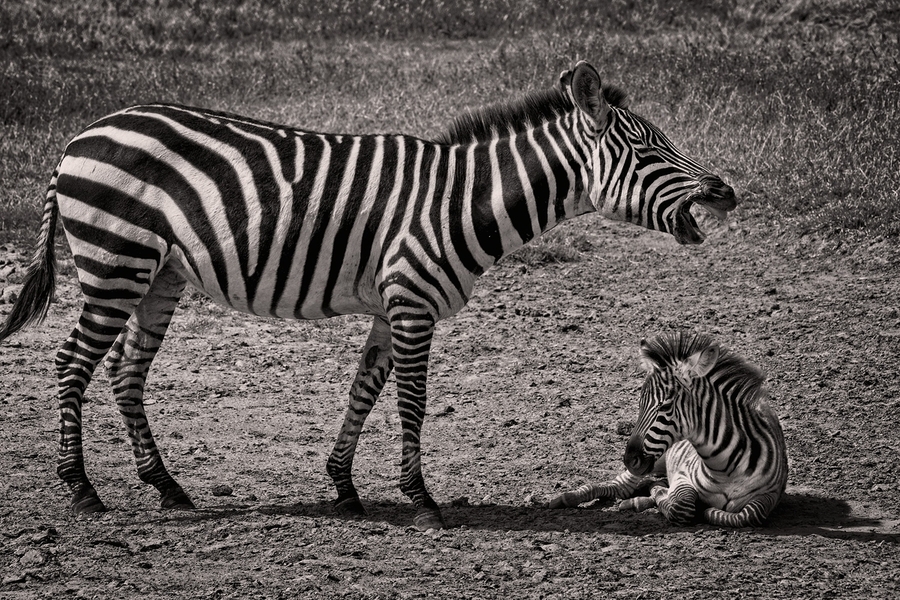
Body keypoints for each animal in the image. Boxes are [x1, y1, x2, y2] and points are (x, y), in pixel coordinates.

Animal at [0, 61, 736, 530]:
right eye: (648, 151)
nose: (726, 191)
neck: (460, 201)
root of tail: (79, 137)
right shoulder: (412, 302)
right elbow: (411, 402)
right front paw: (422, 500)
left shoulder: (391, 305)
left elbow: (363, 390)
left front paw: (344, 488)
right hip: (114, 262)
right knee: (72, 364)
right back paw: (82, 490)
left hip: (159, 275)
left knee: (126, 372)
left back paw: (168, 487)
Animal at [550, 332, 788, 527]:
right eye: (640, 404)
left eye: (664, 406)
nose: (630, 460)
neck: (724, 469)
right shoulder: (682, 475)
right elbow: (681, 507)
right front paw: (664, 495)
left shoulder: (771, 495)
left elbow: (749, 514)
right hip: (657, 459)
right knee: (619, 486)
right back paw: (569, 497)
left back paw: (639, 499)